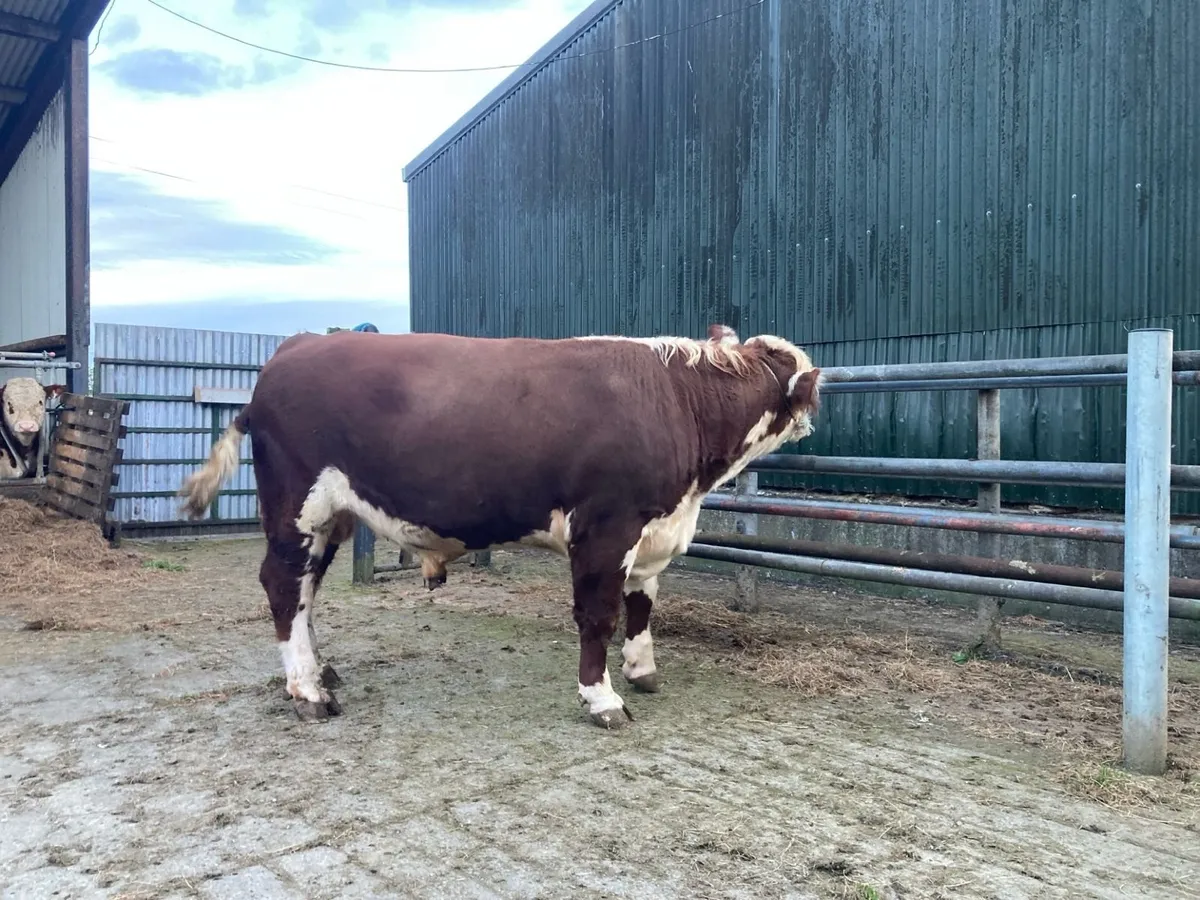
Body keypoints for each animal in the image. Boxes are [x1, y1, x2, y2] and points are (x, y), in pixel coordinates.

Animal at [177, 325, 822, 729]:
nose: (816, 415)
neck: (676, 399)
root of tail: (298, 345)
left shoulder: (653, 530)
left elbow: (642, 606)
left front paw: (642, 671)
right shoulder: (606, 526)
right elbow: (600, 615)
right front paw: (602, 698)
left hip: (331, 516)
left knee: (306, 589)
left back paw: (319, 669)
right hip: (299, 505)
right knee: (284, 584)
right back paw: (308, 691)